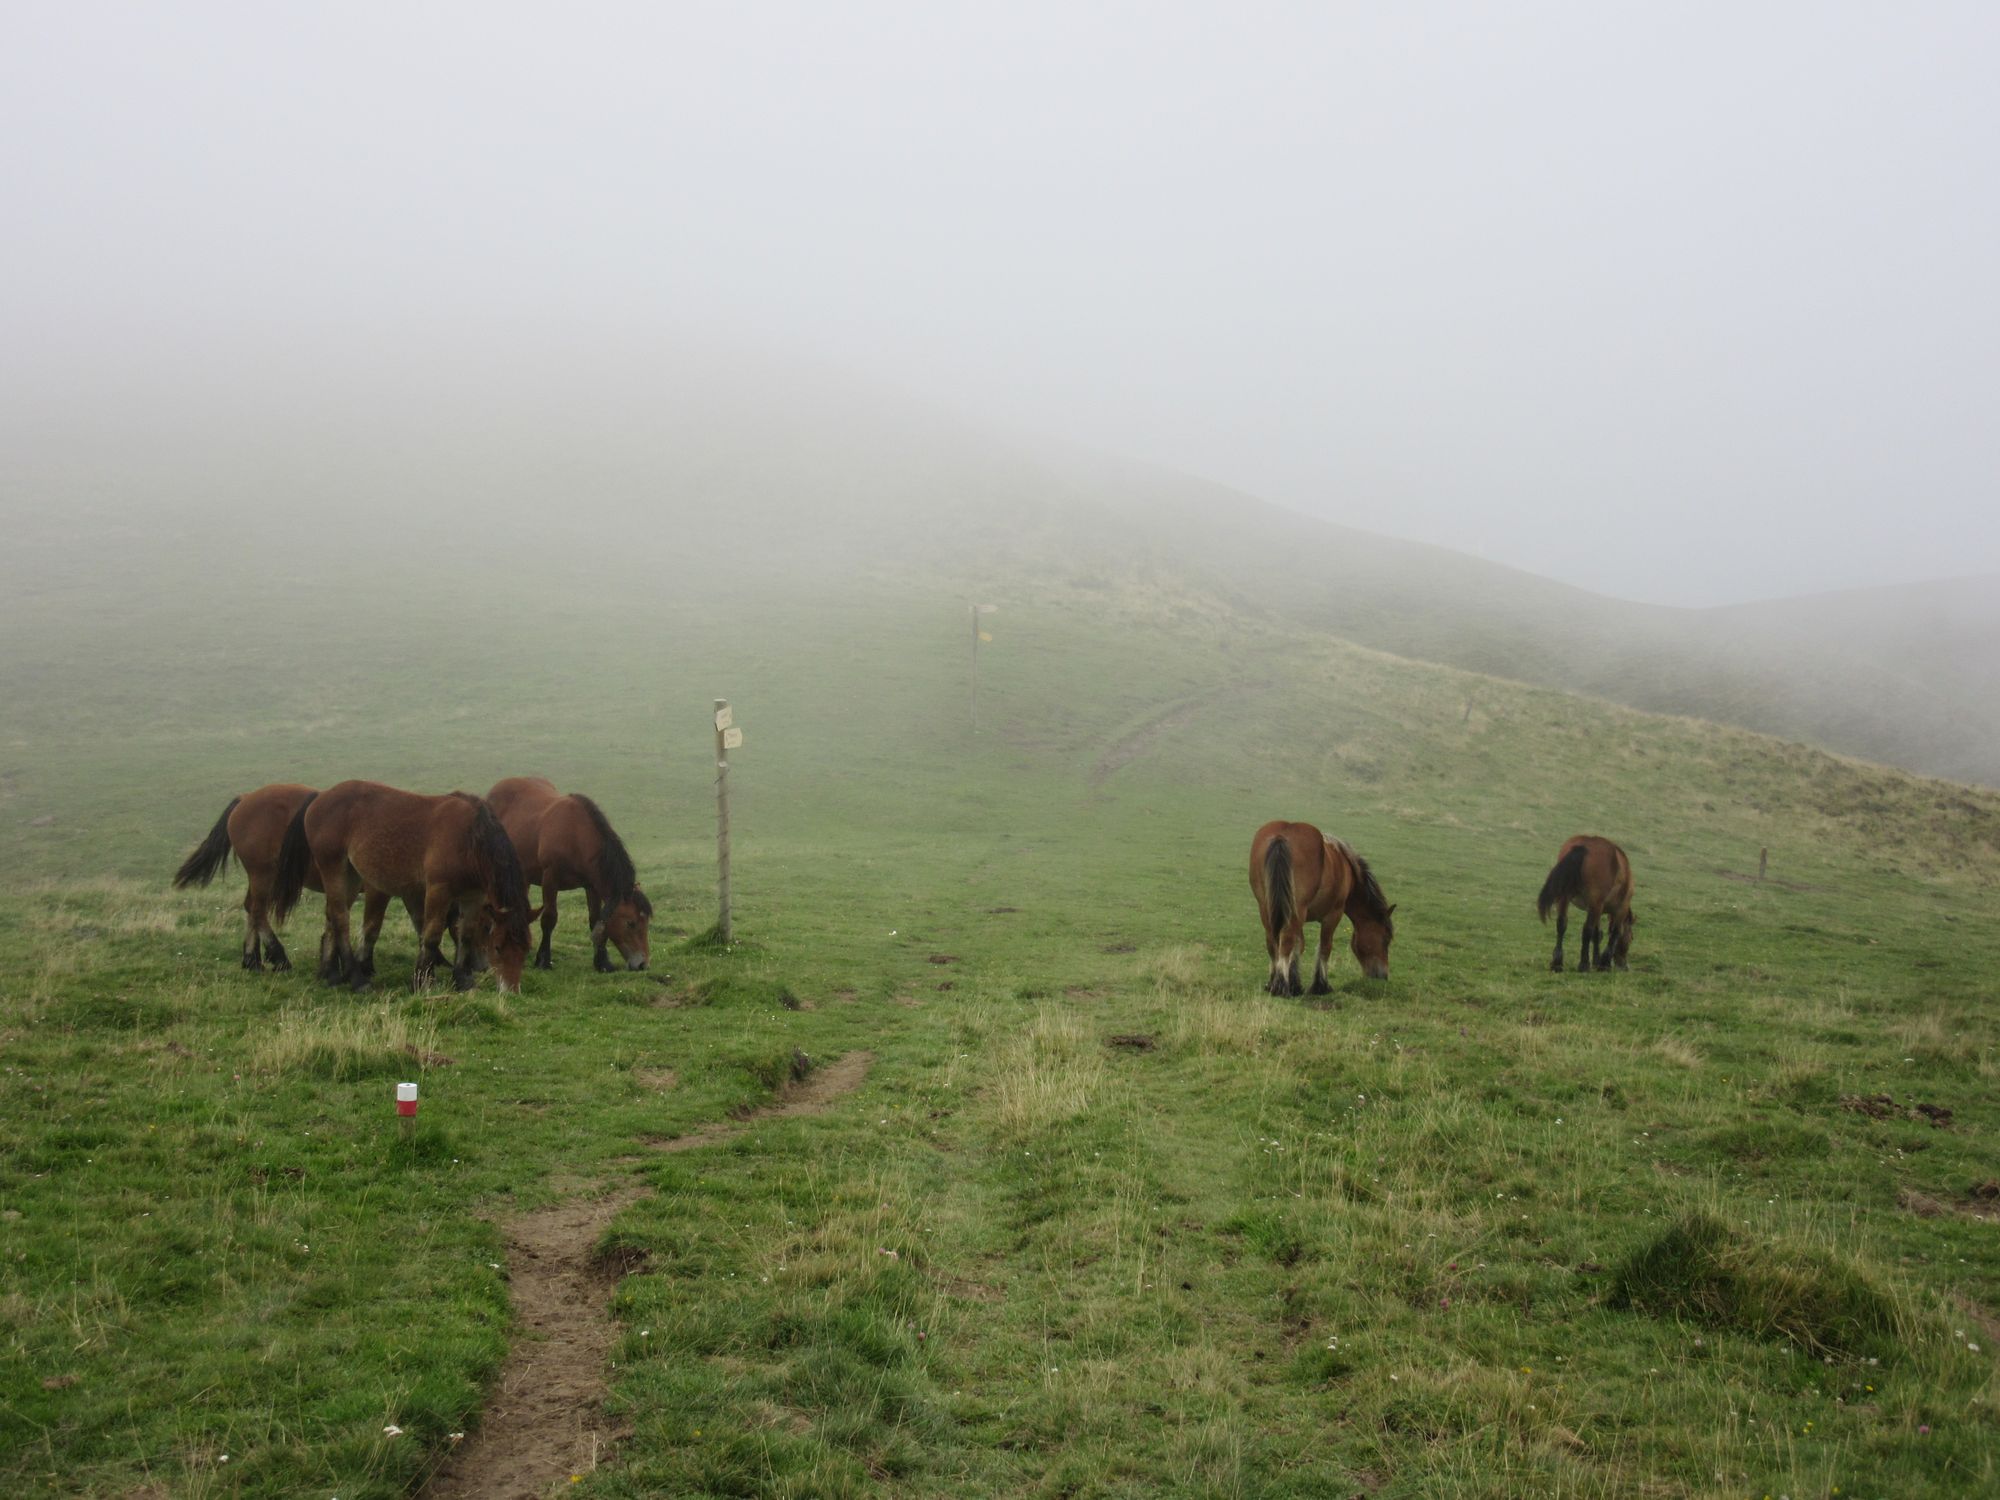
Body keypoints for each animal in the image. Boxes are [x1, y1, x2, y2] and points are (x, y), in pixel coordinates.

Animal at [176, 788, 320, 976]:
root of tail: (245, 798)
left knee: (251, 907)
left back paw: (252, 960)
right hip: (262, 873)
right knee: (257, 910)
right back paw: (278, 959)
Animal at [278, 780, 540, 992]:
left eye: (527, 948)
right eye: (497, 947)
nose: (510, 990)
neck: (469, 839)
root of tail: (320, 796)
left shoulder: (473, 896)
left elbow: (465, 935)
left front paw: (462, 980)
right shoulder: (438, 890)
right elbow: (431, 935)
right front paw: (423, 982)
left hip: (350, 876)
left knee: (332, 917)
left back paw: (330, 974)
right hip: (333, 869)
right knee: (341, 920)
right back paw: (357, 979)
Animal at [490, 776, 656, 976]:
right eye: (631, 923)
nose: (643, 964)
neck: (576, 836)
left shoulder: (591, 886)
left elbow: (594, 919)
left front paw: (602, 962)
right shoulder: (550, 879)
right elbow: (549, 919)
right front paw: (543, 960)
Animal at [1240, 824, 1400, 1000]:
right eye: (1385, 940)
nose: (1383, 976)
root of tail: (1281, 835)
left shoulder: (1300, 918)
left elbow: (1299, 945)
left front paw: (1296, 984)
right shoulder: (1333, 914)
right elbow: (1324, 947)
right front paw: (1320, 986)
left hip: (1266, 908)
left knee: (1273, 942)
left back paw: (1273, 983)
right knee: (1286, 941)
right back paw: (1281, 986)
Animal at [1536, 836, 1632, 976]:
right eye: (1631, 938)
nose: (1625, 966)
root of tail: (1584, 846)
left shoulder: (1598, 910)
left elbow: (1597, 934)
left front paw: (1597, 960)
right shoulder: (1620, 909)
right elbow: (1615, 933)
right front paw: (1604, 963)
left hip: (1565, 897)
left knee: (1561, 924)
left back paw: (1557, 963)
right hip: (1594, 903)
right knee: (1587, 930)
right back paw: (1584, 964)